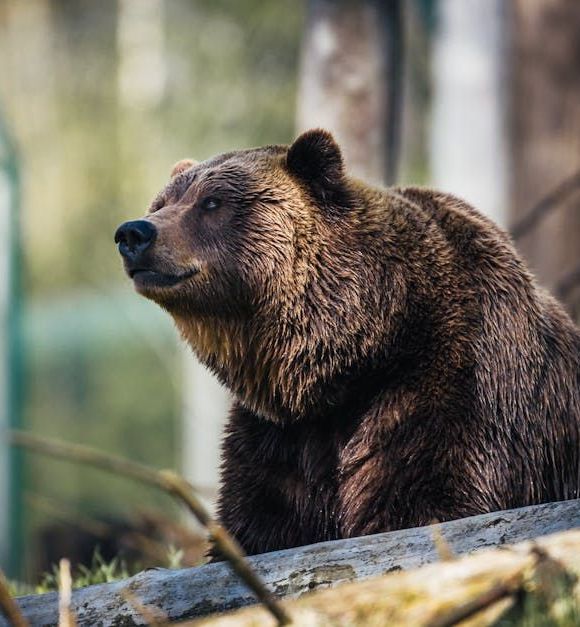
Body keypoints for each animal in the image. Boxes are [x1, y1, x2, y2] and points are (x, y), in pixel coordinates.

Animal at [115, 130, 580, 556]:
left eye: (212, 202)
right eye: (162, 203)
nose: (133, 232)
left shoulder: (453, 389)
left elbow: (428, 500)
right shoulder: (280, 438)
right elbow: (258, 523)